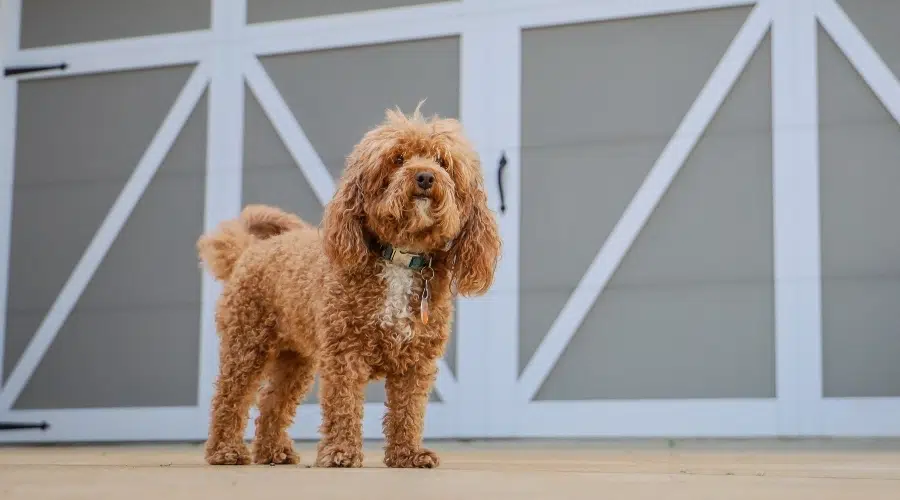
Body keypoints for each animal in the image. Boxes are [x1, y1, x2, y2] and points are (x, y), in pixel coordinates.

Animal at [197, 106, 502, 468]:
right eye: (398, 159)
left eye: (442, 161)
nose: (426, 177)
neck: (400, 256)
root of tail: (249, 250)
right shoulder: (344, 353)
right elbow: (343, 405)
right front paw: (341, 452)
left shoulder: (416, 362)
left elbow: (408, 411)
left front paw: (408, 454)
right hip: (246, 344)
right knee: (230, 395)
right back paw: (225, 450)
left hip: (295, 358)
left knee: (273, 400)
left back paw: (273, 451)